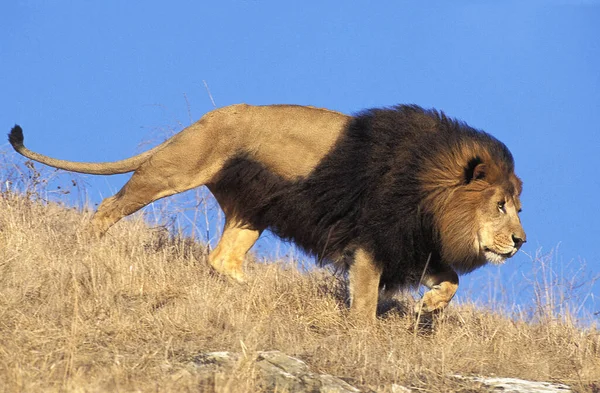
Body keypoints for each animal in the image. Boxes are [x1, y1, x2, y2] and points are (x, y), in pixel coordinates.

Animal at [8, 103, 524, 318]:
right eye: (500, 206)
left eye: (517, 207)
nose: (521, 241)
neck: (432, 196)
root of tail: (208, 117)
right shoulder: (373, 241)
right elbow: (363, 301)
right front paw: (364, 335)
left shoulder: (413, 243)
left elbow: (452, 279)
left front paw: (430, 307)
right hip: (173, 170)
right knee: (110, 205)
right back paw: (85, 245)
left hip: (252, 209)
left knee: (223, 258)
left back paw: (258, 293)